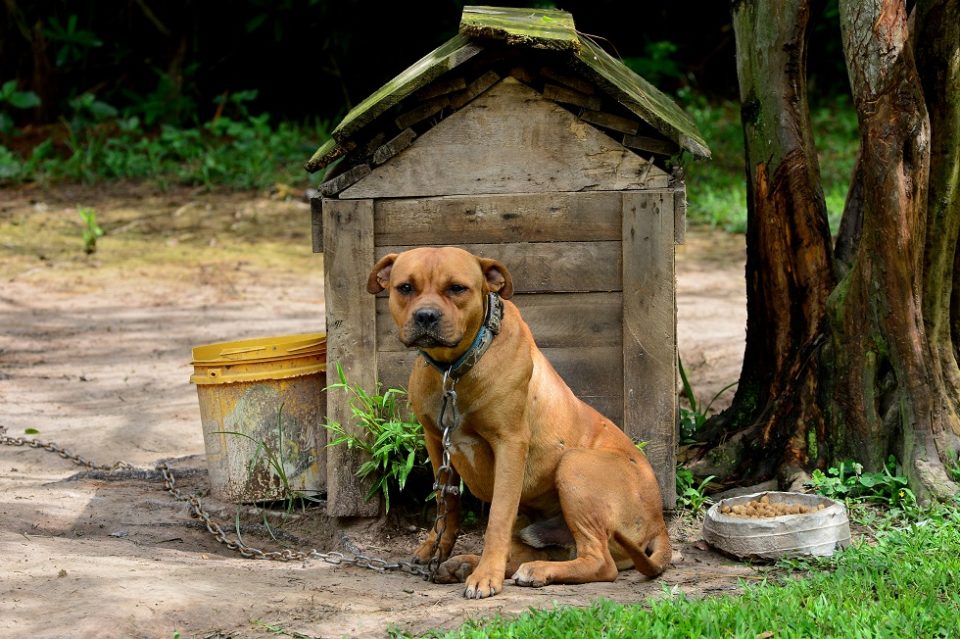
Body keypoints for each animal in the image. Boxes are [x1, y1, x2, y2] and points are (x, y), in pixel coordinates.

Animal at [364, 246, 672, 600]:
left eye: (457, 288)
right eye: (405, 288)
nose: (426, 316)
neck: (454, 368)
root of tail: (659, 521)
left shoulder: (509, 446)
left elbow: (497, 517)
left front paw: (486, 577)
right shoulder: (435, 439)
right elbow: (447, 502)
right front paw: (435, 549)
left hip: (575, 465)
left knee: (600, 563)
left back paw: (530, 570)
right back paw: (466, 564)